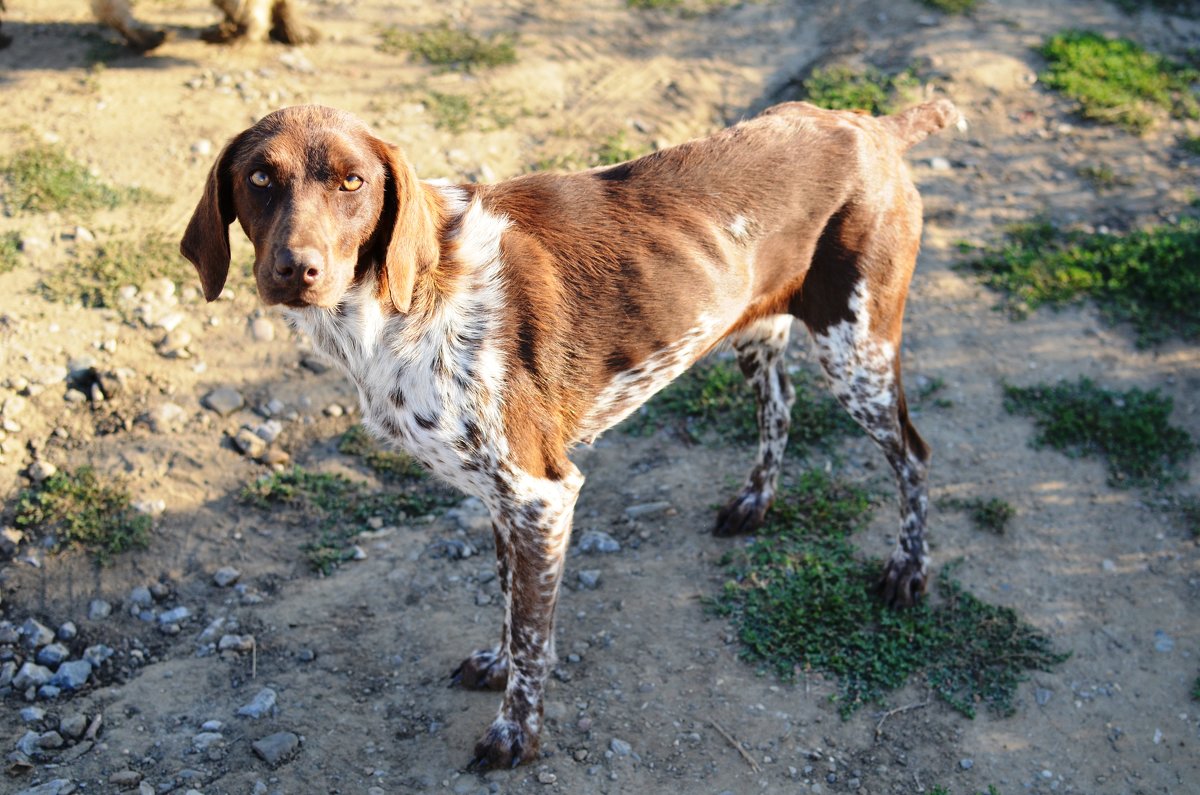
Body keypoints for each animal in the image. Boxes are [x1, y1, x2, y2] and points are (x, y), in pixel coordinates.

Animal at [182, 101, 960, 773]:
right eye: (259, 178)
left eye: (353, 182)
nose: (296, 270)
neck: (396, 306)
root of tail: (870, 124)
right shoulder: (503, 497)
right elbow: (510, 604)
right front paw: (496, 664)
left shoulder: (540, 494)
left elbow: (534, 635)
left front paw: (515, 733)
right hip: (758, 331)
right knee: (780, 408)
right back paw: (755, 503)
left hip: (857, 351)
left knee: (914, 458)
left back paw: (910, 570)